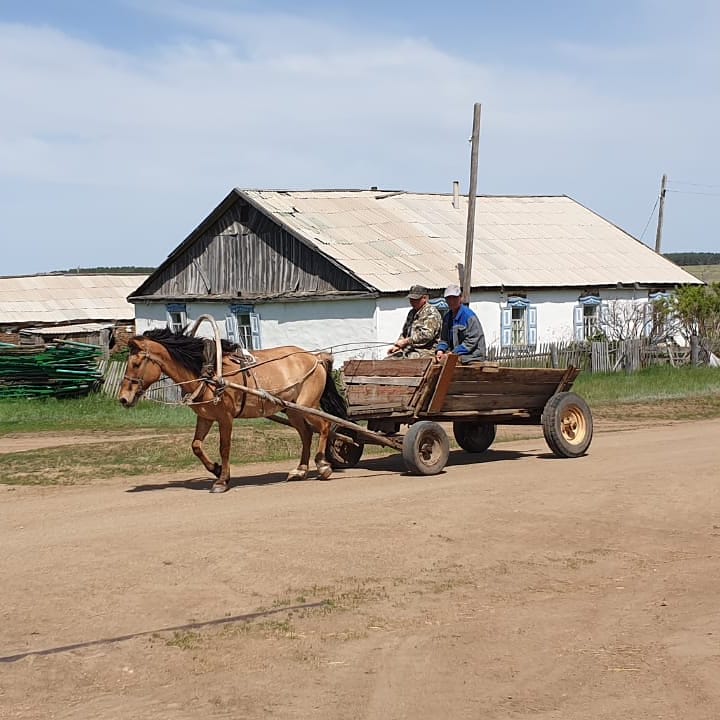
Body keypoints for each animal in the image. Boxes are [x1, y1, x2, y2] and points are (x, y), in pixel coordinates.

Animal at [116, 330, 348, 492]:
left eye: (136, 363)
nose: (123, 398)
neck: (209, 373)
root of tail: (316, 357)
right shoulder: (205, 417)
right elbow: (196, 445)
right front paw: (216, 469)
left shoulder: (225, 417)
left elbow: (224, 448)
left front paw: (222, 480)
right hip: (292, 410)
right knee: (306, 434)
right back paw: (300, 470)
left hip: (307, 405)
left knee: (325, 426)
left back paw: (323, 465)